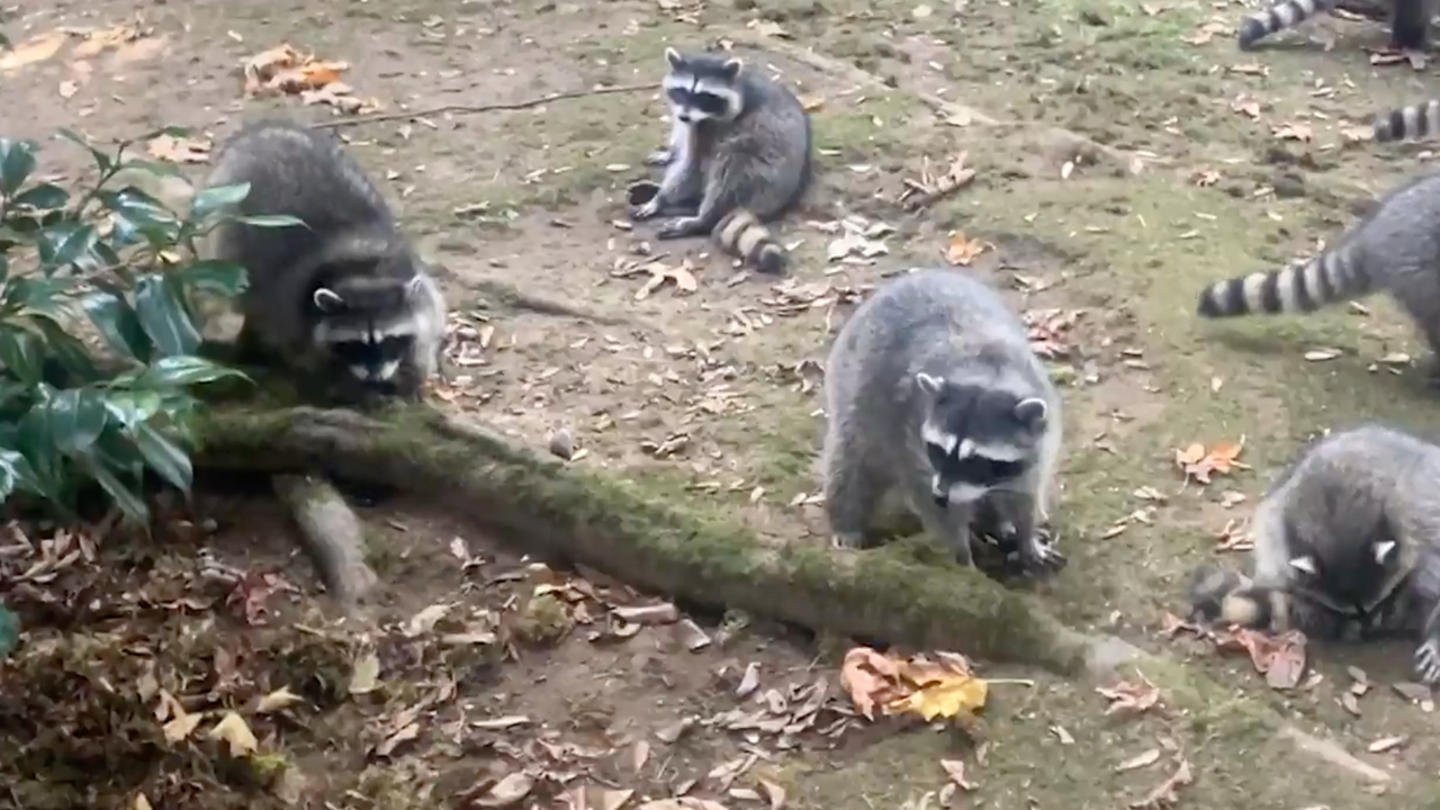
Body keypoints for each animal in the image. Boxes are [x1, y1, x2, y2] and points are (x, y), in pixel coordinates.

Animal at [198, 116, 443, 400]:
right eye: (354, 345)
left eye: (391, 340)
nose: (375, 376)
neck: (366, 272)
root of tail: (259, 129)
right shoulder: (289, 307)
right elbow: (304, 353)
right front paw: (340, 385)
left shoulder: (418, 284)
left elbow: (427, 327)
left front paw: (412, 373)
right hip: (224, 224)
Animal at [630, 47, 812, 273]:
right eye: (682, 91)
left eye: (704, 97)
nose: (684, 117)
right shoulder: (689, 121)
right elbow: (682, 145)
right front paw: (668, 156)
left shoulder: (712, 128)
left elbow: (693, 166)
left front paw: (661, 199)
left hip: (764, 172)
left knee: (729, 167)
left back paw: (700, 218)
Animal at [817, 268, 1065, 570]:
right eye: (938, 449)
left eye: (976, 460)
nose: (942, 496)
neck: (987, 375)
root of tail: (915, 275)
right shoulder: (911, 438)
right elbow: (934, 506)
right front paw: (962, 557)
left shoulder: (1042, 437)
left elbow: (1025, 493)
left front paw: (1026, 537)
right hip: (852, 387)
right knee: (851, 462)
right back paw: (846, 521)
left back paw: (997, 521)